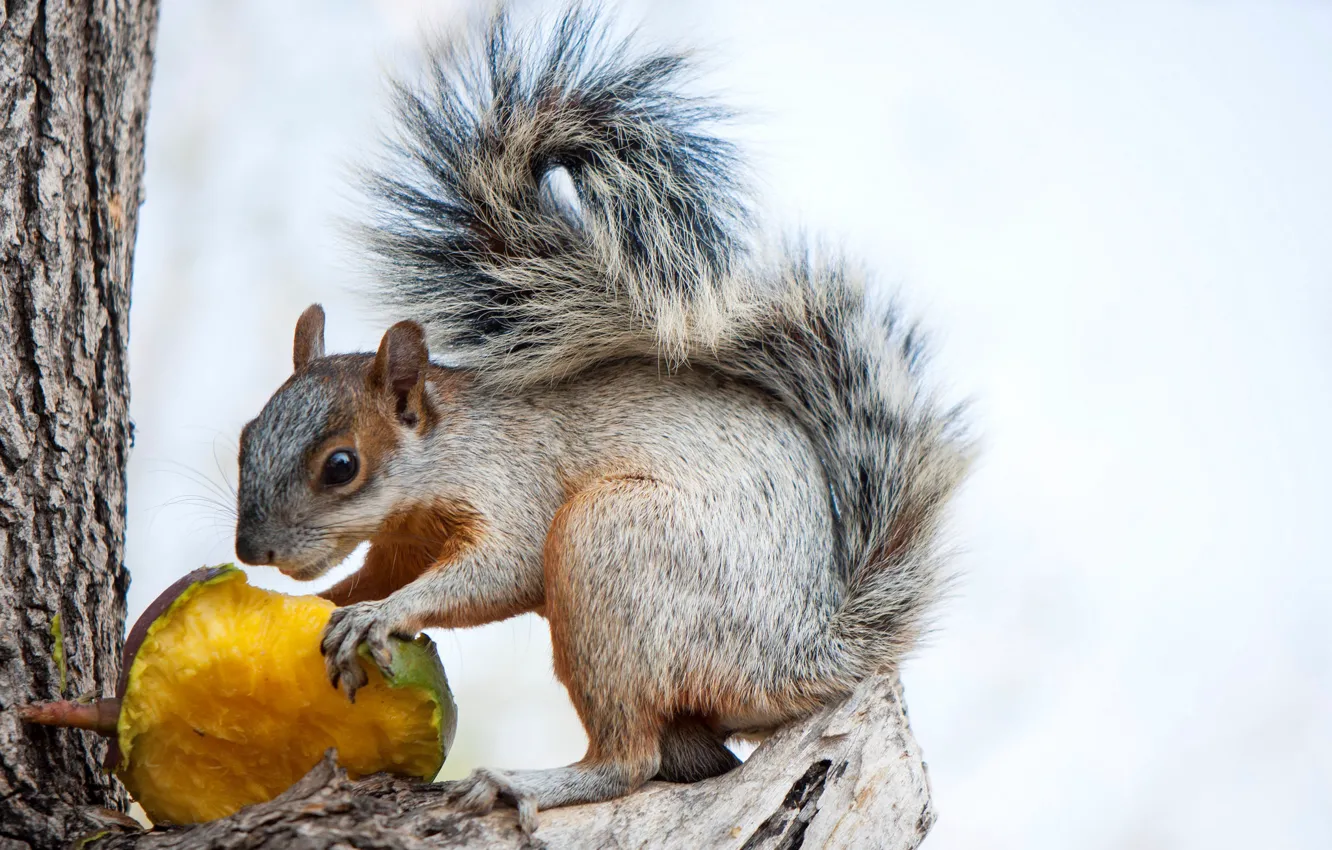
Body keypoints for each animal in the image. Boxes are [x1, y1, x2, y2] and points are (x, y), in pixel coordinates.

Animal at [233, 3, 969, 833]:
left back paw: (526, 783)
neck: (447, 449)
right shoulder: (404, 537)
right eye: (245, 439)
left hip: (612, 549)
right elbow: (377, 571)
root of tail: (795, 658)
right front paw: (327, 603)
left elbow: (498, 571)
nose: (251, 551)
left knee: (631, 759)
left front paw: (382, 614)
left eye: (342, 466)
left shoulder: (512, 491)